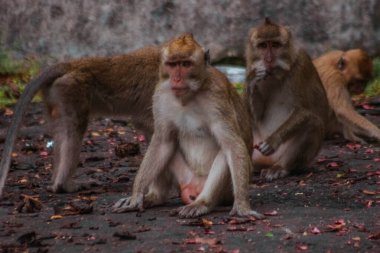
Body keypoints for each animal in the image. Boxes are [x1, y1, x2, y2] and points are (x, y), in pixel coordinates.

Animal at [0, 46, 160, 196]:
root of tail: (72, 64)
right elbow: (146, 123)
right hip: (72, 90)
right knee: (74, 131)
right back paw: (63, 185)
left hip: (56, 95)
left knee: (64, 132)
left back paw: (55, 184)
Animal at [111, 33, 262, 218]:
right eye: (172, 64)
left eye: (185, 64)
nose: (176, 79)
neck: (188, 96)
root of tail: (195, 186)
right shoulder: (160, 95)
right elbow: (163, 143)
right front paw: (136, 196)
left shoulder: (217, 98)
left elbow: (233, 145)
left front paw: (242, 207)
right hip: (184, 178)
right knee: (164, 144)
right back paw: (155, 197)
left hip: (226, 192)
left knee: (225, 153)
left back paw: (202, 203)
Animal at [243, 18, 330, 181]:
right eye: (263, 45)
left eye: (275, 45)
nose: (268, 59)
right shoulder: (250, 66)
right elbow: (257, 115)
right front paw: (254, 79)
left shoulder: (301, 65)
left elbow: (307, 109)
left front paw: (272, 141)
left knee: (313, 123)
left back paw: (280, 168)